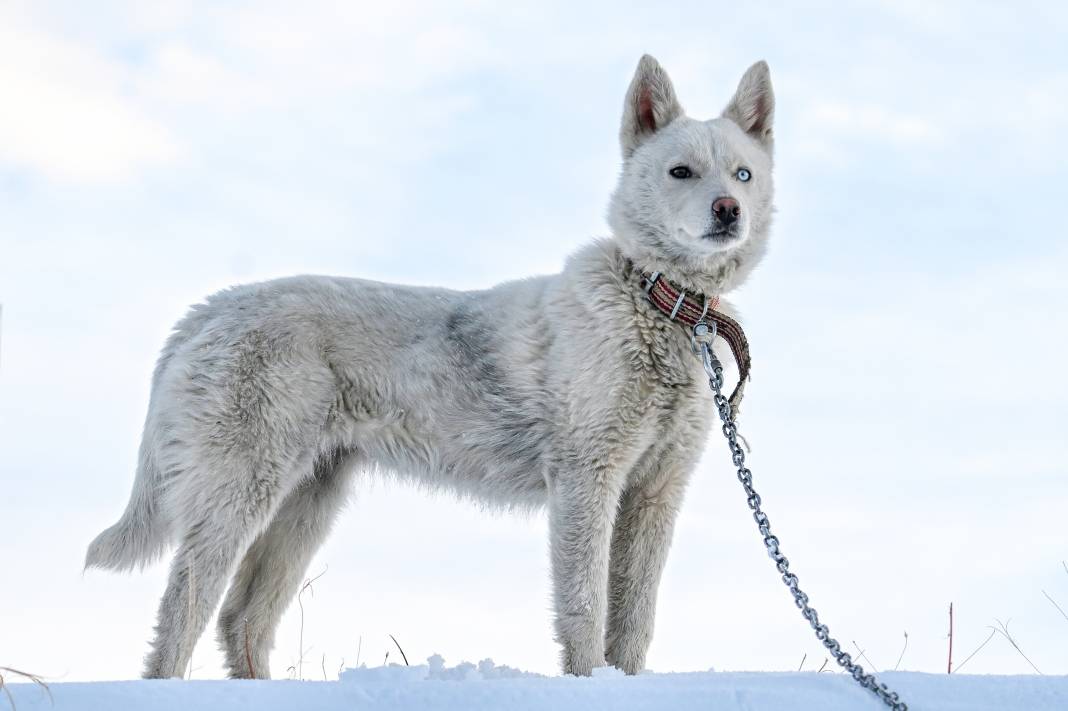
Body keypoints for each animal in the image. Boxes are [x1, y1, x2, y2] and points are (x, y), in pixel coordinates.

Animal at [81, 53, 768, 674]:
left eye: (742, 173)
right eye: (681, 171)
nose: (728, 209)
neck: (658, 302)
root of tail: (209, 310)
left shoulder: (656, 493)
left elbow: (636, 620)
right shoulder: (586, 481)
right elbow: (585, 612)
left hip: (306, 504)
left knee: (242, 620)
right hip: (239, 495)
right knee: (184, 613)